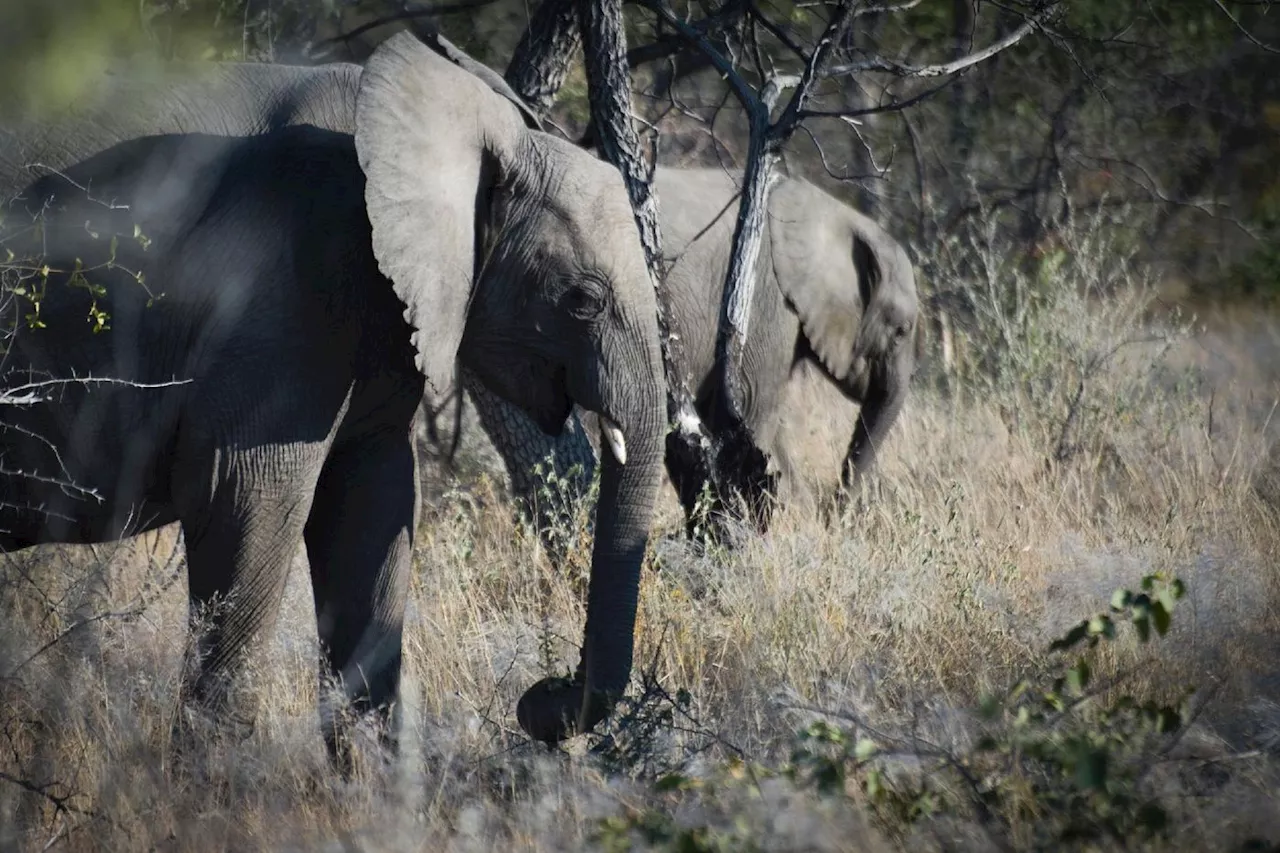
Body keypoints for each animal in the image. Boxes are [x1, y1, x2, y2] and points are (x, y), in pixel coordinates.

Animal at [5, 31, 670, 753]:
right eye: (583, 300)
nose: (542, 695)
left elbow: (370, 505)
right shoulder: (290, 278)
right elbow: (244, 492)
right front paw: (212, 783)